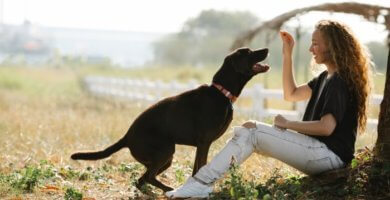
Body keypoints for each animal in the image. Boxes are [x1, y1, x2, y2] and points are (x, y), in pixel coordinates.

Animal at [71, 47, 270, 192]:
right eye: (249, 52)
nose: (267, 49)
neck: (222, 93)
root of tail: (126, 137)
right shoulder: (204, 143)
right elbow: (200, 167)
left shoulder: (201, 145)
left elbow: (196, 169)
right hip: (165, 151)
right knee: (148, 177)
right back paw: (168, 189)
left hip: (165, 159)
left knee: (141, 179)